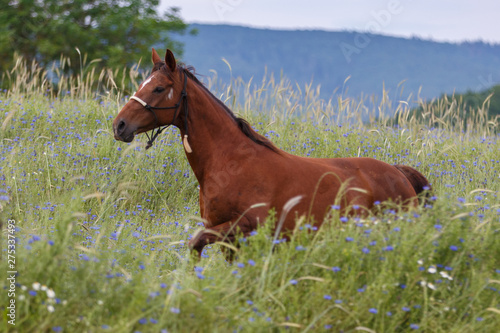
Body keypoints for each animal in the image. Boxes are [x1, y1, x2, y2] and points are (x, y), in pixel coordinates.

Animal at [112, 47, 430, 254]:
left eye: (158, 88)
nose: (119, 125)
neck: (230, 163)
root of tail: (399, 174)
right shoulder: (227, 237)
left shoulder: (247, 226)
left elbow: (195, 243)